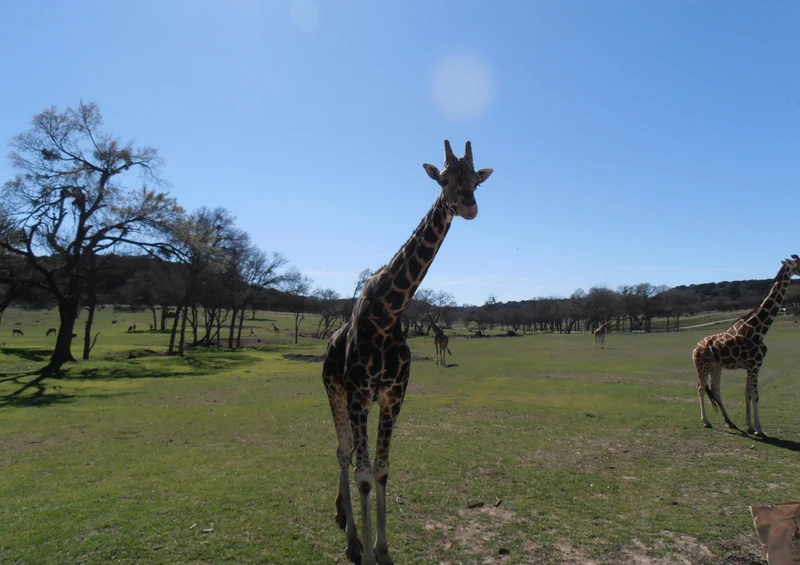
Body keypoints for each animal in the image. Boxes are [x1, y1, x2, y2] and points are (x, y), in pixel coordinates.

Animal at [322, 140, 493, 565]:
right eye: (444, 179)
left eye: (476, 181)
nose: (468, 206)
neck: (387, 314)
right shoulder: (359, 395)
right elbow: (364, 476)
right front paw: (367, 553)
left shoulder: (393, 396)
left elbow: (382, 470)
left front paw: (382, 549)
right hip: (334, 391)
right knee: (343, 452)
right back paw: (351, 537)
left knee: (349, 454)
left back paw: (345, 519)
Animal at [693, 254, 800, 437]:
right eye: (799, 264)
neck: (759, 329)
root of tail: (694, 349)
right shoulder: (754, 365)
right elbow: (755, 394)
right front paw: (759, 430)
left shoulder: (753, 366)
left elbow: (747, 393)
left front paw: (750, 426)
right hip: (702, 366)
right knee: (701, 388)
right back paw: (706, 421)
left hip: (715, 367)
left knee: (715, 390)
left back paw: (731, 422)